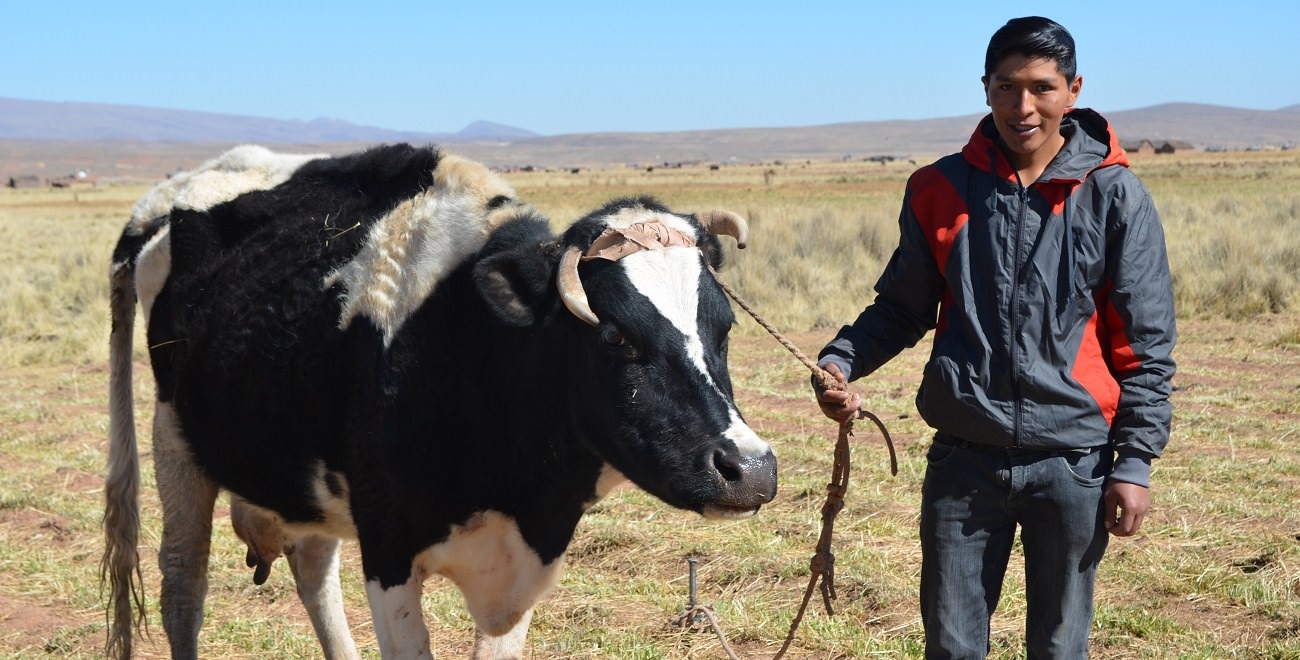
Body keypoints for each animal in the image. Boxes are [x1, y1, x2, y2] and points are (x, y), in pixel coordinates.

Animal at [101, 145, 774, 660]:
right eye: (614, 335)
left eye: (725, 329)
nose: (750, 468)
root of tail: (162, 203)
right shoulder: (388, 548)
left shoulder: (520, 570)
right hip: (174, 436)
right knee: (182, 583)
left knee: (312, 566)